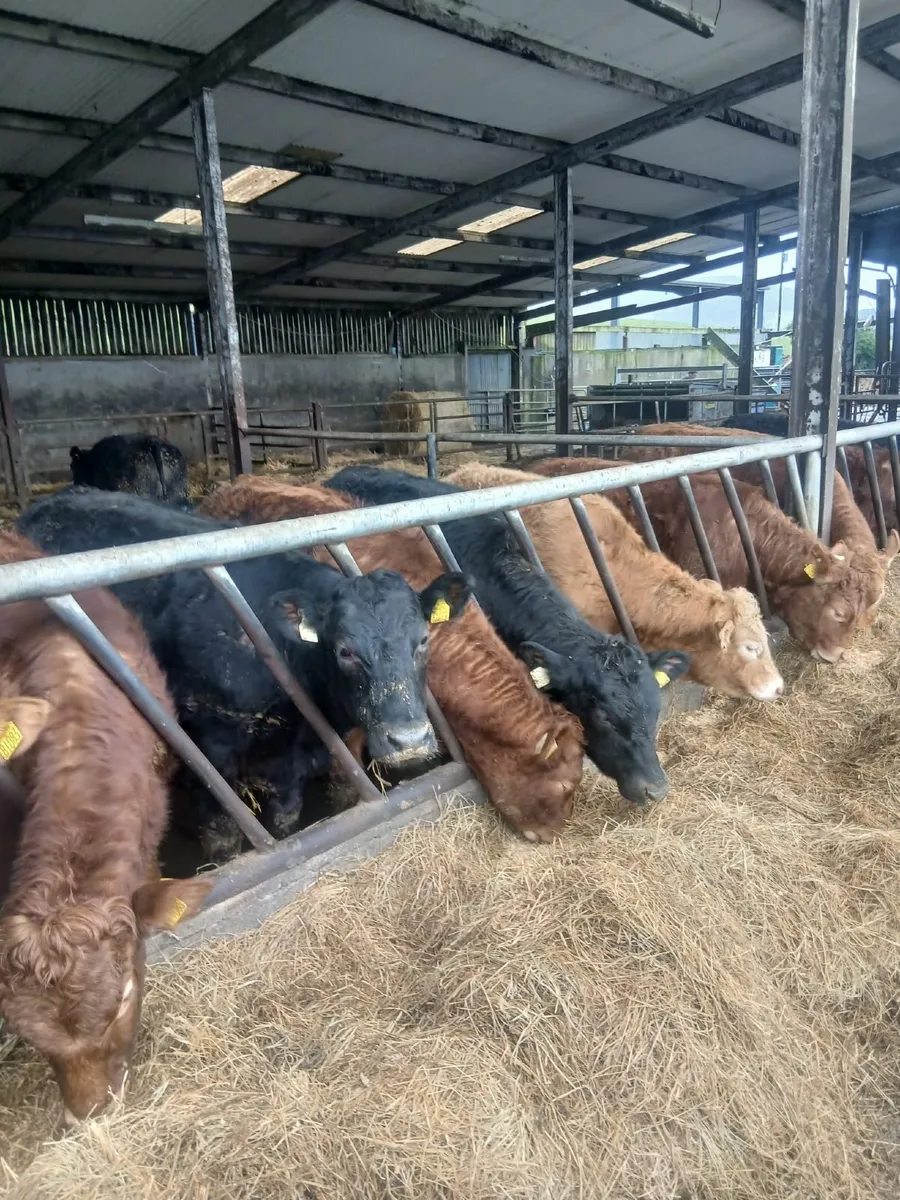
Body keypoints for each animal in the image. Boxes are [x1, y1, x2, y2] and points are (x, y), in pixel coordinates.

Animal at [18, 488, 470, 862]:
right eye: (344, 650)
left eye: (423, 639)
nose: (408, 741)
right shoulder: (210, 758)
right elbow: (224, 837)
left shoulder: (294, 767)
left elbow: (286, 822)